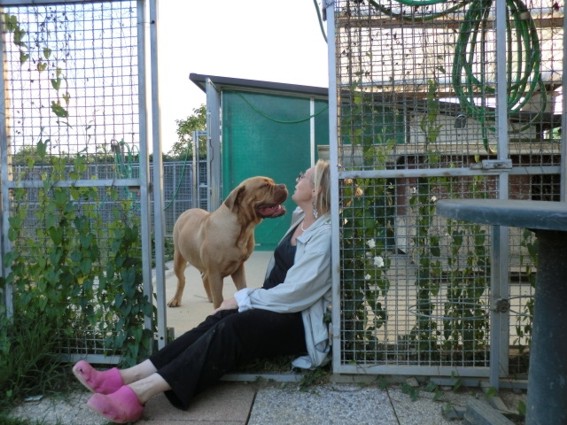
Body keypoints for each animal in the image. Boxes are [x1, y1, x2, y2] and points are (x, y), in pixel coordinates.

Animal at [168, 176, 288, 309]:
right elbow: (219, 300)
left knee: (204, 277)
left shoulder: (238, 268)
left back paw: (210, 297)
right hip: (179, 258)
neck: (243, 229)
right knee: (182, 279)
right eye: (264, 186)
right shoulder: (215, 274)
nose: (283, 185)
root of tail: (187, 211)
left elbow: (242, 288)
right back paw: (175, 300)